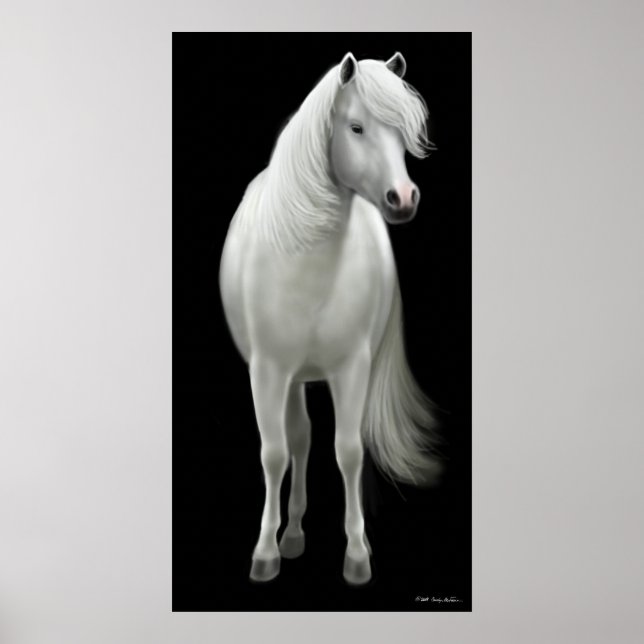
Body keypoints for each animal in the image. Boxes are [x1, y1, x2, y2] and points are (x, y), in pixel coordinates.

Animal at [219, 51, 441, 586]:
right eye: (356, 127)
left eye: (403, 134)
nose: (404, 198)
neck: (308, 267)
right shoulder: (268, 372)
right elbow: (275, 452)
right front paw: (265, 552)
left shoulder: (351, 369)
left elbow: (349, 451)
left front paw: (358, 554)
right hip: (292, 377)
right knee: (298, 440)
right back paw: (293, 534)